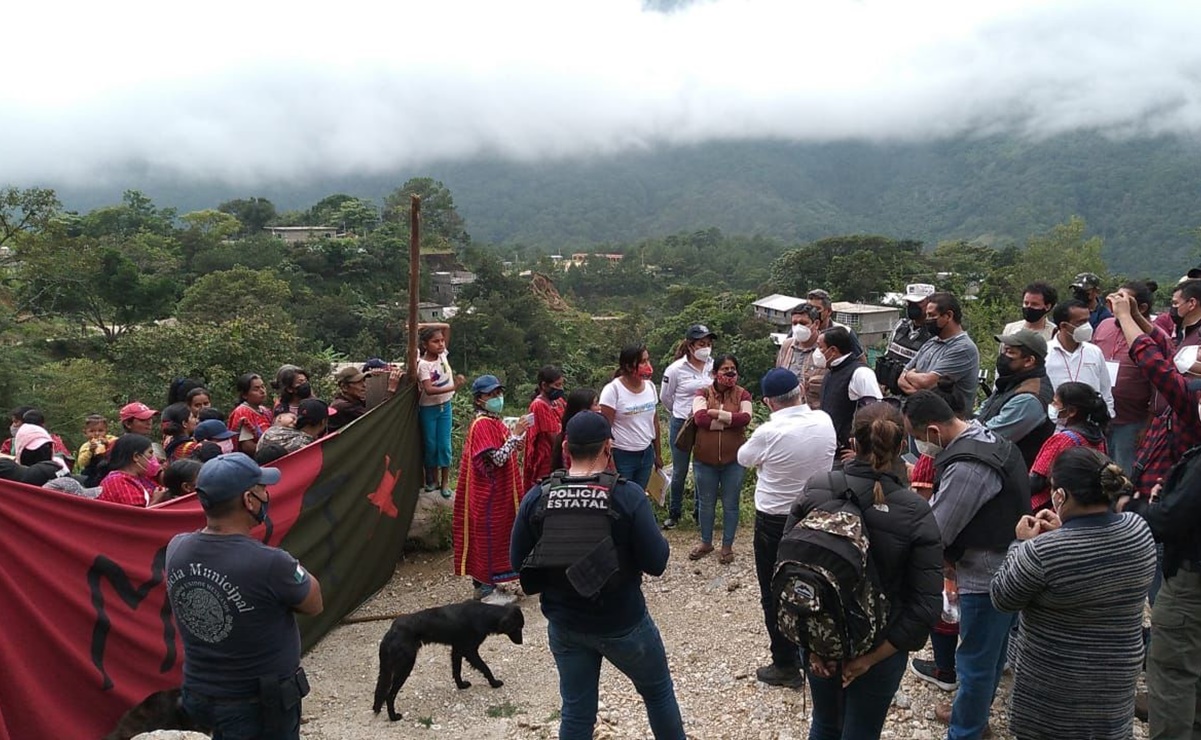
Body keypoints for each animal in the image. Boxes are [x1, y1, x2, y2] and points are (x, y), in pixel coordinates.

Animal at [372, 600, 523, 715]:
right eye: (518, 628)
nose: (521, 642)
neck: (484, 615)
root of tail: (392, 631)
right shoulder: (470, 651)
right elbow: (485, 668)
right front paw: (494, 683)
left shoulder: (457, 649)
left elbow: (456, 670)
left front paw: (461, 686)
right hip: (405, 666)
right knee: (389, 695)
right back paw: (393, 717)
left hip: (387, 669)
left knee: (381, 691)